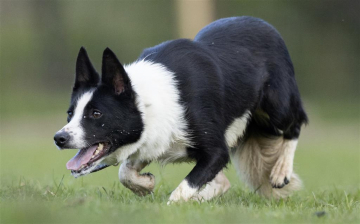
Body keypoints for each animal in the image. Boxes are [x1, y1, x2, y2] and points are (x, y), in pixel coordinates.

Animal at [54, 16, 308, 202]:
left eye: (96, 113)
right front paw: (145, 185)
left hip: (277, 107)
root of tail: (264, 25)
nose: (59, 138)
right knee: (222, 182)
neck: (149, 102)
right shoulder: (154, 139)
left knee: (296, 123)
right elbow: (124, 172)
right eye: (70, 113)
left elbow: (183, 189)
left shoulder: (217, 151)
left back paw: (281, 171)